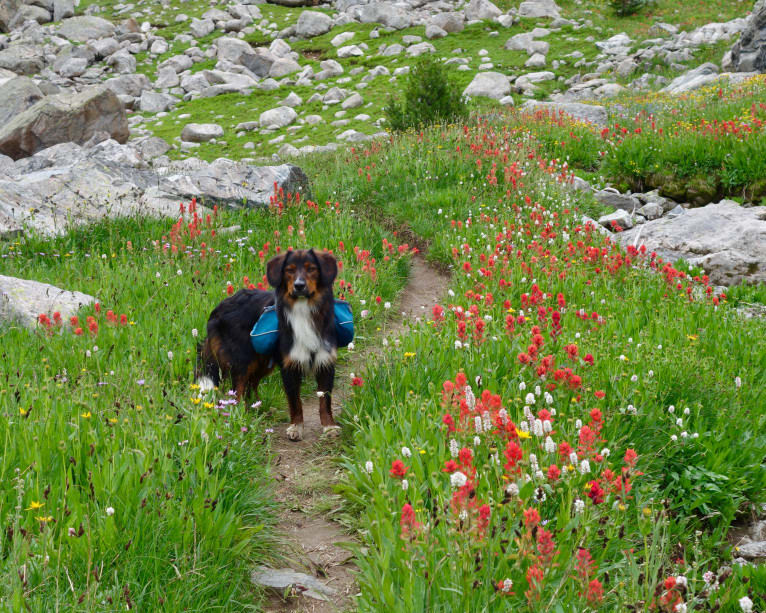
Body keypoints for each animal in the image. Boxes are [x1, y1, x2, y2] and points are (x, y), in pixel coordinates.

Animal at [196, 249, 340, 440]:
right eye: (289, 270)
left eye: (311, 269)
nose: (299, 285)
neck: (304, 310)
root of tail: (218, 308)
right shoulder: (289, 365)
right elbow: (295, 401)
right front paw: (296, 427)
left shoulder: (325, 362)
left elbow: (325, 400)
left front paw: (329, 427)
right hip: (242, 361)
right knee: (237, 392)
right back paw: (240, 418)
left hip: (262, 362)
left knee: (250, 386)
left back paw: (256, 410)